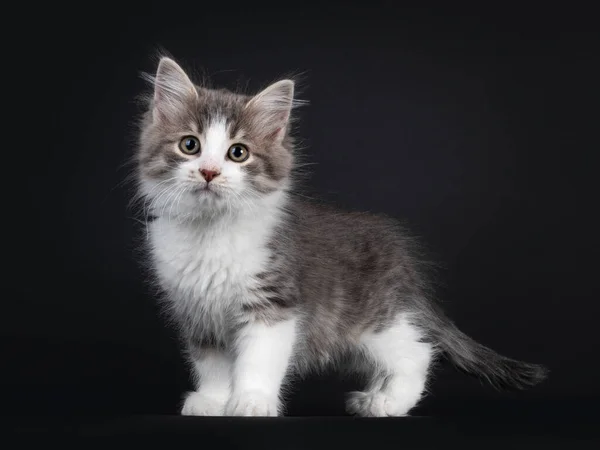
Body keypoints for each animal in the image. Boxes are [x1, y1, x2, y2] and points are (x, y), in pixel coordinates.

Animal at [135, 56, 548, 418]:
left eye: (238, 153)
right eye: (190, 145)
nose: (208, 172)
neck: (211, 232)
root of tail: (404, 266)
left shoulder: (274, 303)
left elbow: (259, 359)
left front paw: (251, 402)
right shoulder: (196, 310)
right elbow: (211, 363)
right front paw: (213, 400)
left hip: (372, 322)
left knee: (418, 352)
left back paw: (389, 402)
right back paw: (374, 397)